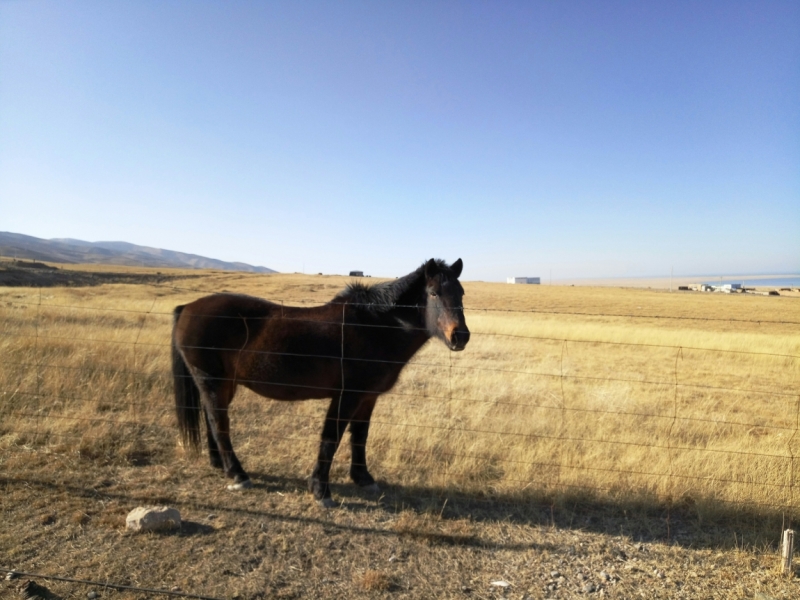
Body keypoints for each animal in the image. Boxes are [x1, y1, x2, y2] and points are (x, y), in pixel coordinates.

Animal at [170, 258, 468, 506]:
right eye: (433, 293)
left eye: (461, 293)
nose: (460, 336)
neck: (375, 327)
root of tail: (187, 308)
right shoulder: (346, 396)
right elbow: (330, 439)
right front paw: (320, 490)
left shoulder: (367, 397)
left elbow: (359, 437)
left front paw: (363, 479)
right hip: (212, 381)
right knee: (219, 423)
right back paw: (237, 475)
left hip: (222, 385)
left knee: (212, 419)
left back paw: (219, 464)